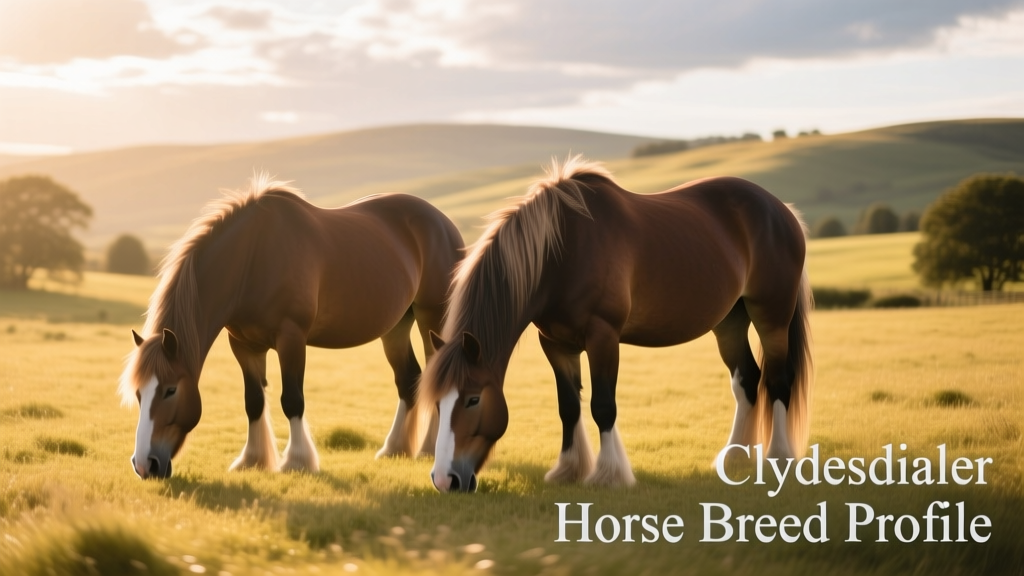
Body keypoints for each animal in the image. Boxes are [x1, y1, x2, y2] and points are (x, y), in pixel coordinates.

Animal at [118, 174, 464, 479]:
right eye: (138, 392)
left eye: (170, 390)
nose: (144, 465)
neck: (252, 257)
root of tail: (443, 222)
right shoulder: (243, 345)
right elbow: (253, 401)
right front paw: (252, 460)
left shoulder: (291, 338)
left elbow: (292, 400)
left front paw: (297, 461)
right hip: (396, 326)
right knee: (408, 379)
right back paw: (394, 449)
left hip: (431, 317)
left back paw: (428, 449)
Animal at [421, 156, 812, 492]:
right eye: (437, 401)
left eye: (473, 399)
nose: (444, 479)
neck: (561, 253)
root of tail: (782, 210)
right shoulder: (555, 343)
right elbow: (569, 406)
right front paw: (568, 470)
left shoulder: (603, 337)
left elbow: (602, 405)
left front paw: (608, 475)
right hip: (730, 321)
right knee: (747, 380)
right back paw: (735, 461)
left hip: (771, 316)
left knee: (778, 381)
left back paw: (778, 459)